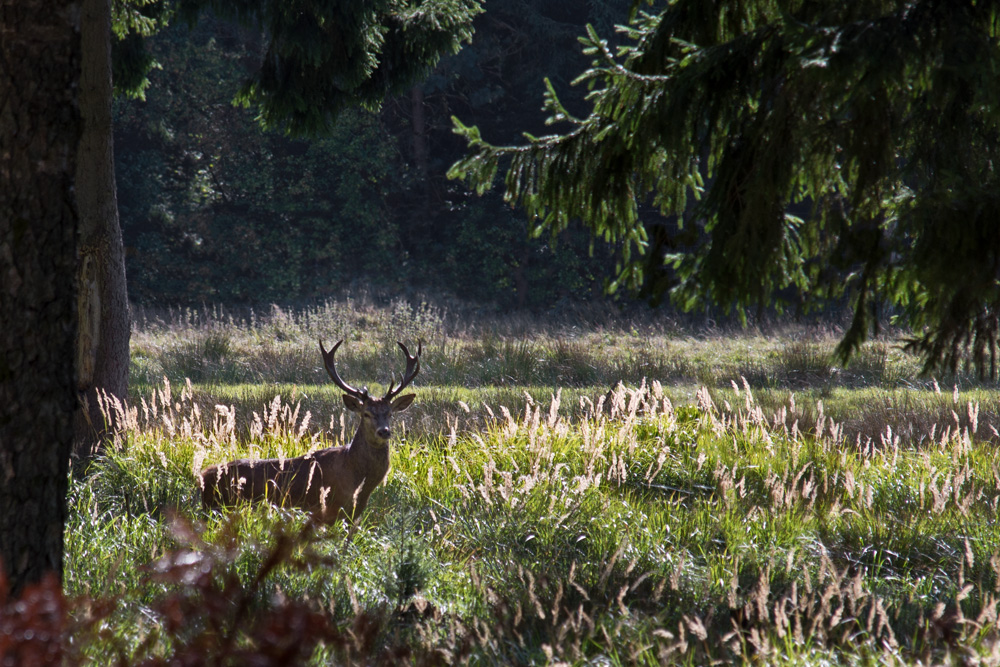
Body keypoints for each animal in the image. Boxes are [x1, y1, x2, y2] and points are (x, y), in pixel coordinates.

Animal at [199, 340, 422, 528]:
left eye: (390, 413)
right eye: (366, 413)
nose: (384, 431)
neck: (357, 477)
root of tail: (203, 475)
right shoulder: (326, 509)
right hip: (220, 506)